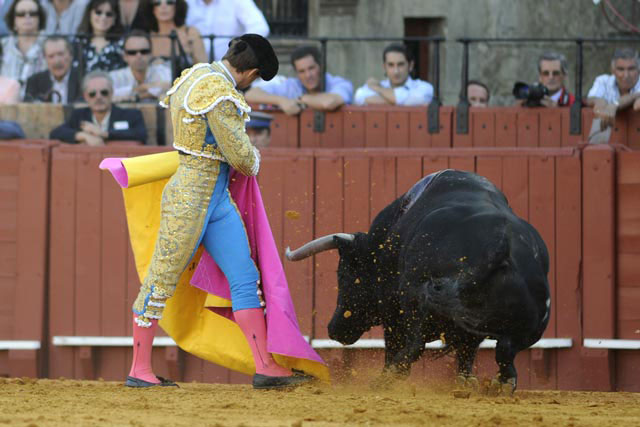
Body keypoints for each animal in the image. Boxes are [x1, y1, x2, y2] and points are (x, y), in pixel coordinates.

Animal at [286, 170, 552, 392]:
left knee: (415, 345)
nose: (334, 329)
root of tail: (499, 245)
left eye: (343, 274)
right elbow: (468, 350)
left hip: (412, 303)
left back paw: (385, 379)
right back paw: (500, 385)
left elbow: (395, 342)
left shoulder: (391, 307)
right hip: (532, 326)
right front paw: (466, 381)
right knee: (504, 351)